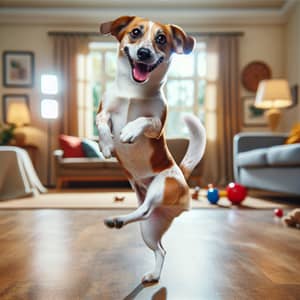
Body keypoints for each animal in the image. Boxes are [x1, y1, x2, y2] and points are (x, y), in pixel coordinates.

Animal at [96, 15, 206, 284]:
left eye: (161, 39)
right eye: (135, 32)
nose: (144, 53)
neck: (133, 93)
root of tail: (182, 175)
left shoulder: (157, 126)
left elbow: (147, 120)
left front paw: (130, 131)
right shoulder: (103, 110)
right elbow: (102, 120)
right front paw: (106, 144)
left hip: (161, 185)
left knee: (145, 209)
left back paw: (117, 219)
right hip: (148, 230)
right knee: (158, 245)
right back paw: (153, 272)